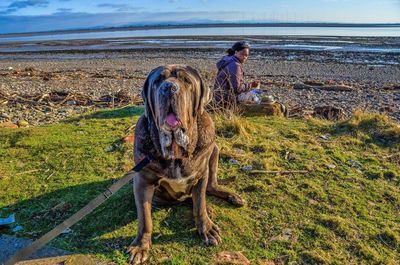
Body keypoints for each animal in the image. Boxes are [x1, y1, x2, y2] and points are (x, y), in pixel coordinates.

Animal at [128, 65, 245, 262]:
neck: (176, 151)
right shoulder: (142, 181)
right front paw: (140, 246)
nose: (169, 88)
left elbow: (199, 204)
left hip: (214, 150)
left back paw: (229, 198)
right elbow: (145, 218)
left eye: (186, 81)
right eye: (158, 81)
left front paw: (206, 228)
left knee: (209, 188)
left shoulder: (201, 175)